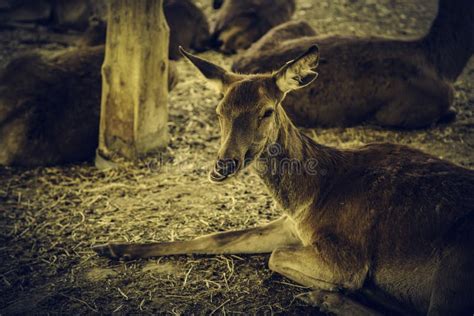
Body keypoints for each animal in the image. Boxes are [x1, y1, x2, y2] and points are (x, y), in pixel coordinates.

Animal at [93, 46, 474, 316]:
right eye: (219, 111)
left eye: (266, 111)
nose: (223, 165)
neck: (311, 197)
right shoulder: (290, 225)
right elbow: (217, 237)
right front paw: (112, 246)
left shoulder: (345, 254)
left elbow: (275, 258)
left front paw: (346, 287)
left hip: (456, 267)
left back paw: (328, 297)